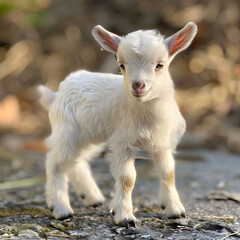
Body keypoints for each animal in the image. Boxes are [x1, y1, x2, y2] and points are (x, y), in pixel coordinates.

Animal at [39, 22, 197, 227]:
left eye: (160, 65)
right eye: (121, 65)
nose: (138, 85)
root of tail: (56, 94)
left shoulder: (161, 142)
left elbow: (168, 173)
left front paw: (175, 210)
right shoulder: (123, 142)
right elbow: (127, 179)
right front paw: (125, 217)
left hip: (90, 134)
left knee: (76, 161)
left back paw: (92, 197)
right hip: (67, 130)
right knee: (56, 162)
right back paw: (60, 208)